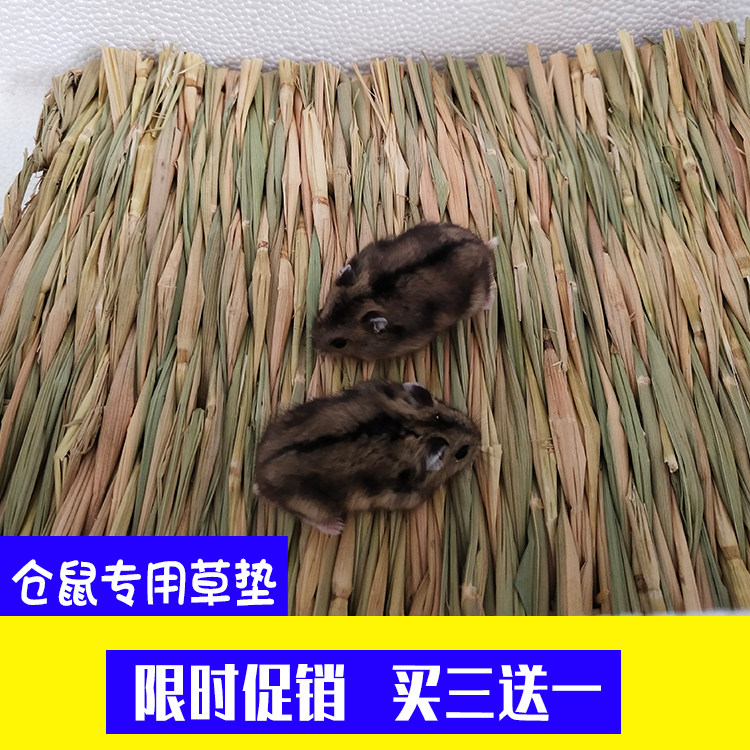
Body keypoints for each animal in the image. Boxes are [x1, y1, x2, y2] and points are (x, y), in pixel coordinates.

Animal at [253, 380, 480, 534]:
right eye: (462, 452)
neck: (415, 429)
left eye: (451, 412)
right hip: (312, 505)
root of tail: (260, 475)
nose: (479, 435)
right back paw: (336, 527)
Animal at [312, 222, 496, 360]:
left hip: (475, 298)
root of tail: (482, 248)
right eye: (322, 311)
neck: (373, 294)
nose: (313, 343)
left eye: (339, 343)